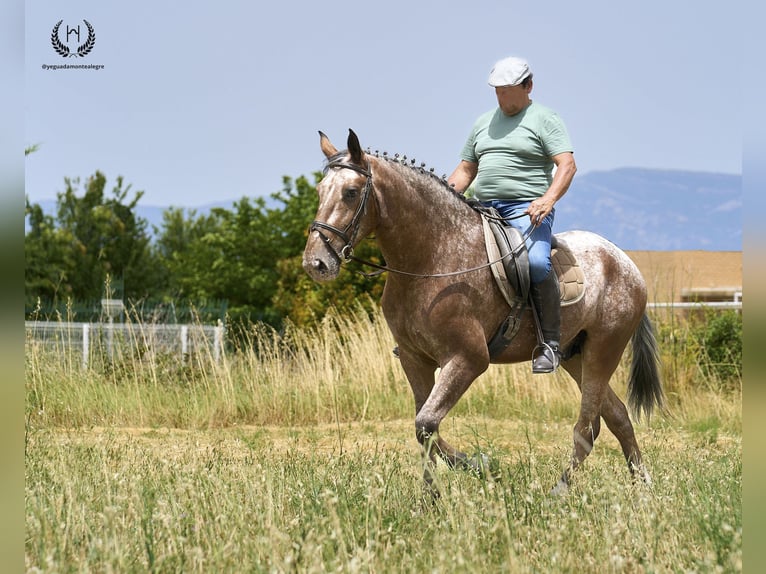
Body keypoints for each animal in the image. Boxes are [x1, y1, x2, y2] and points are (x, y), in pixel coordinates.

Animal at [304, 129, 664, 496]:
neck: (431, 257)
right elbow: (425, 429)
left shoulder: (467, 358)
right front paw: (432, 497)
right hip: (576, 356)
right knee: (617, 416)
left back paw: (560, 491)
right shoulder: (414, 359)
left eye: (350, 192)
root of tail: (624, 261)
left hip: (603, 351)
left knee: (588, 427)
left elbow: (426, 423)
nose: (316, 263)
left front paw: (482, 466)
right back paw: (643, 488)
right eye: (320, 191)